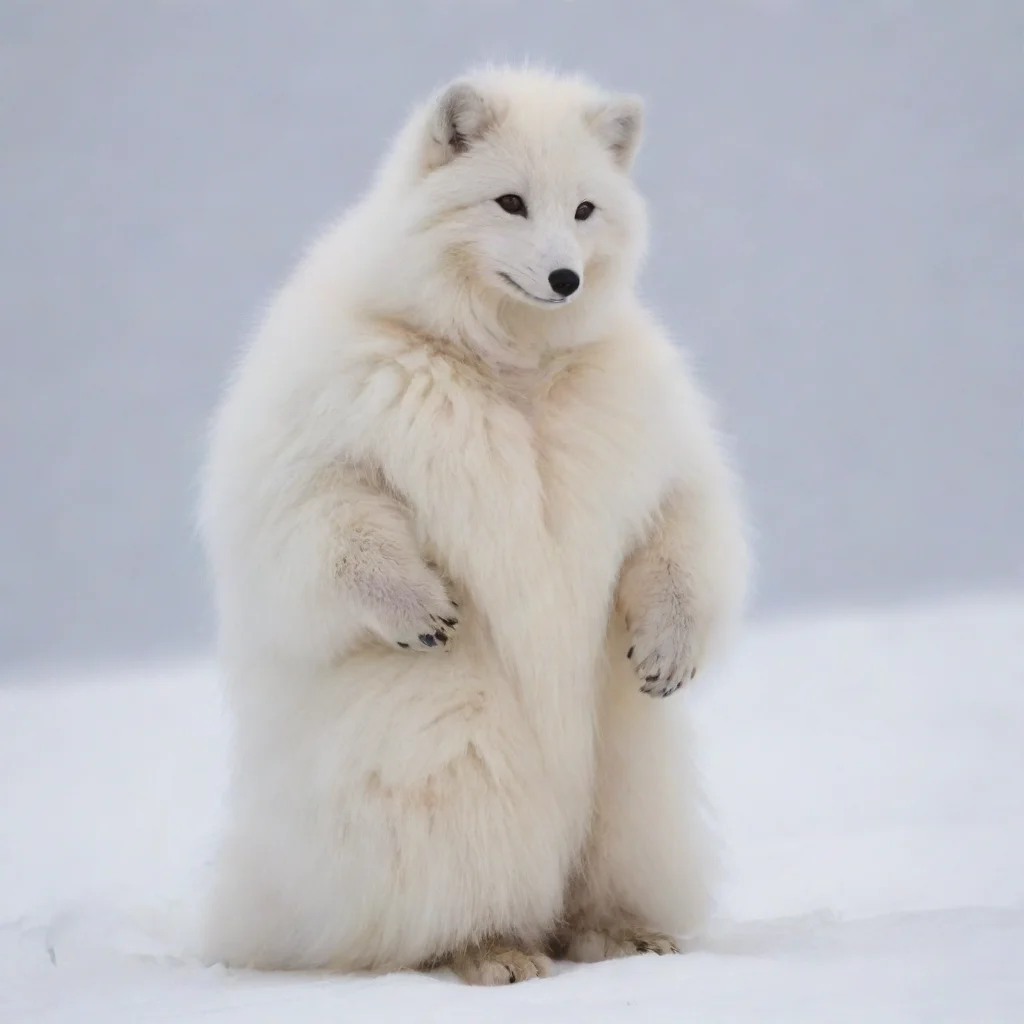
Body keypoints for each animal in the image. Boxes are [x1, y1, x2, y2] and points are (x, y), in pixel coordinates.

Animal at [199, 66, 750, 985]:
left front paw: (667, 651)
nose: (564, 278)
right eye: (510, 200)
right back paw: (493, 947)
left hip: (625, 758)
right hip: (436, 729)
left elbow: (682, 512)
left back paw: (624, 931)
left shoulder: (627, 396)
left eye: (586, 206)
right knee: (458, 802)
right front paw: (421, 608)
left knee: (627, 817)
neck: (510, 361)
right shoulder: (338, 384)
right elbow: (310, 510)